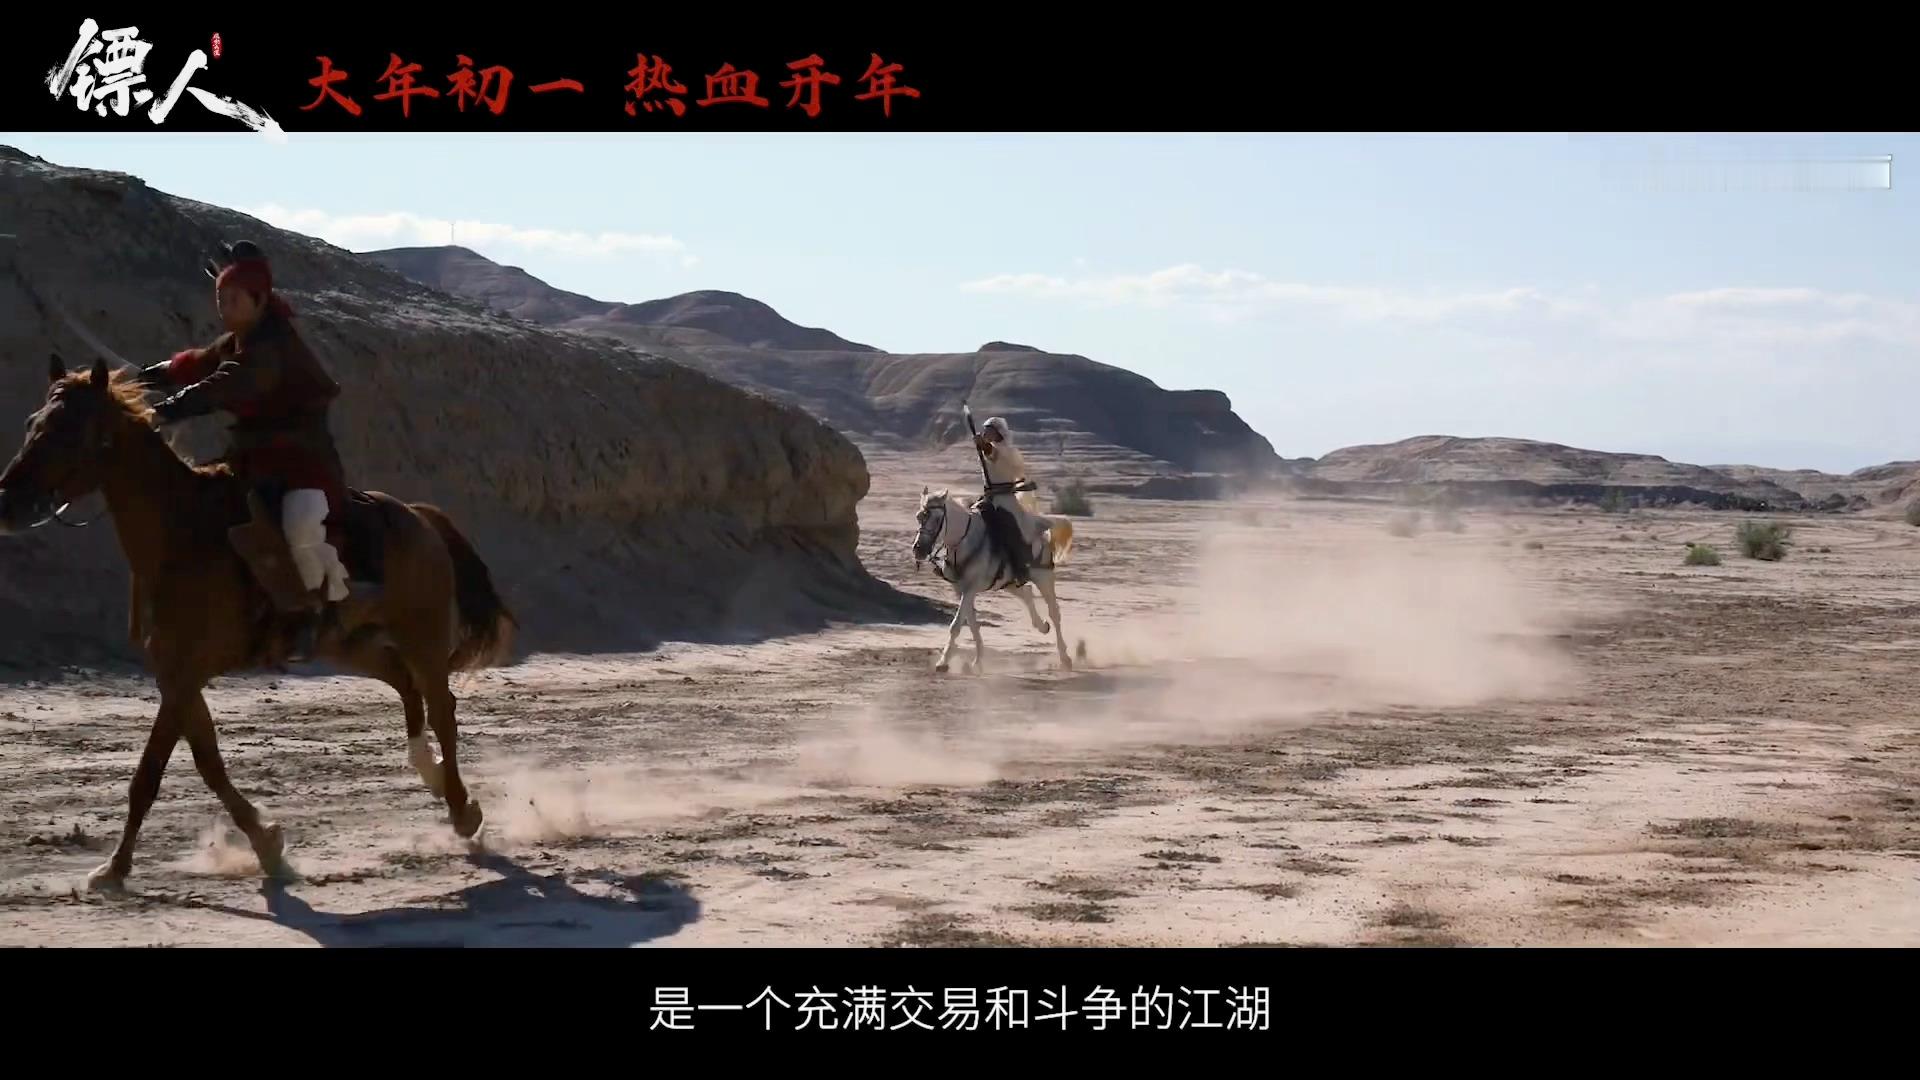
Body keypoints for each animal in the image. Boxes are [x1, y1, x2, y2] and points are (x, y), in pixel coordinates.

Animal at [0, 355, 516, 891]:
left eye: (68, 430)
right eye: (34, 423)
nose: (7, 504)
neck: (181, 532)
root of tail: (418, 516)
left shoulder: (184, 675)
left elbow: (149, 774)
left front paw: (115, 868)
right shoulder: (176, 677)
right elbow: (207, 763)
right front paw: (265, 842)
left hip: (423, 636)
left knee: (442, 708)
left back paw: (461, 810)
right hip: (348, 645)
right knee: (404, 685)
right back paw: (429, 772)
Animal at [911, 486, 1075, 674]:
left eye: (937, 519)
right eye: (918, 516)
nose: (918, 550)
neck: (967, 542)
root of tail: (1042, 534)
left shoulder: (971, 588)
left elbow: (956, 625)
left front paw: (943, 662)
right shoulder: (961, 590)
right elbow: (972, 623)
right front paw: (978, 661)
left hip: (1043, 578)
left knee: (1054, 612)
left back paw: (1065, 658)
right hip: (1008, 582)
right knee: (1026, 592)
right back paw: (1042, 626)